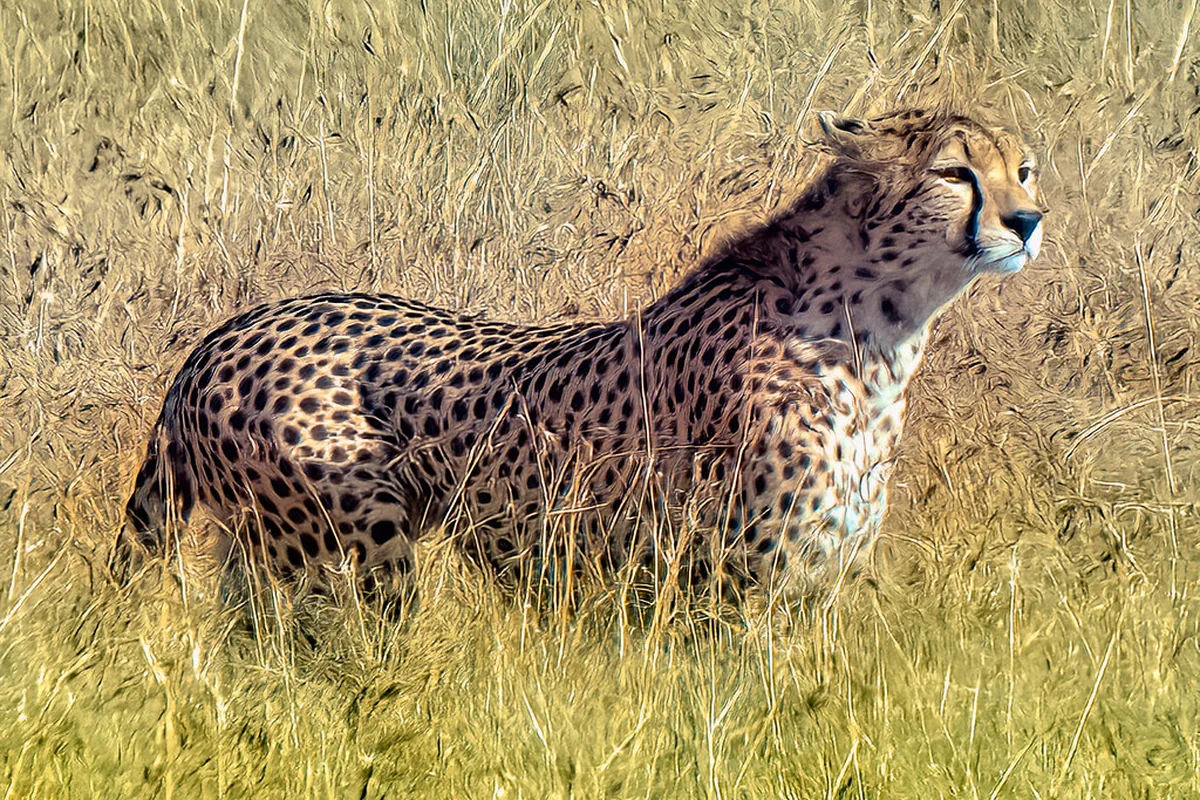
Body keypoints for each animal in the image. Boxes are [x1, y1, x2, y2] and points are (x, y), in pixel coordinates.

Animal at [116, 108, 1045, 612]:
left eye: (1025, 170)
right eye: (955, 173)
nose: (1029, 221)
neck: (875, 330)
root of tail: (222, 335)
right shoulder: (739, 590)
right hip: (353, 554)